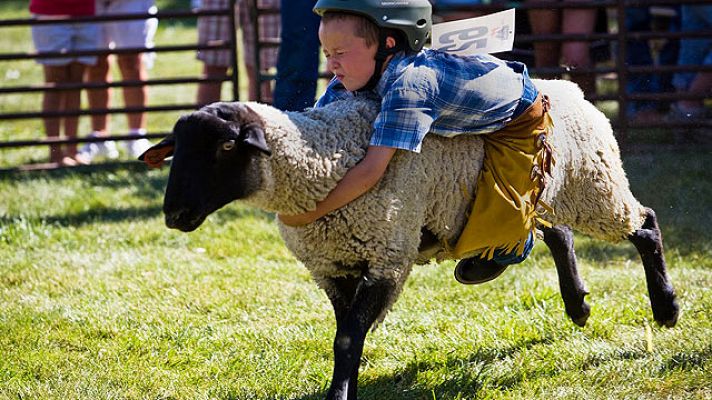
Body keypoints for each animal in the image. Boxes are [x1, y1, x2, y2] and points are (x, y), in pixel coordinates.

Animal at [139, 78, 680, 400]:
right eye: (176, 149)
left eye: (226, 147)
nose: (175, 215)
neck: (325, 163)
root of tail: (570, 88)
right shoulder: (331, 267)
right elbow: (344, 334)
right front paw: (346, 385)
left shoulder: (387, 255)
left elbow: (348, 336)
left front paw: (340, 394)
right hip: (542, 193)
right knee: (558, 233)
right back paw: (576, 305)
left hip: (594, 185)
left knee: (645, 225)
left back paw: (666, 307)